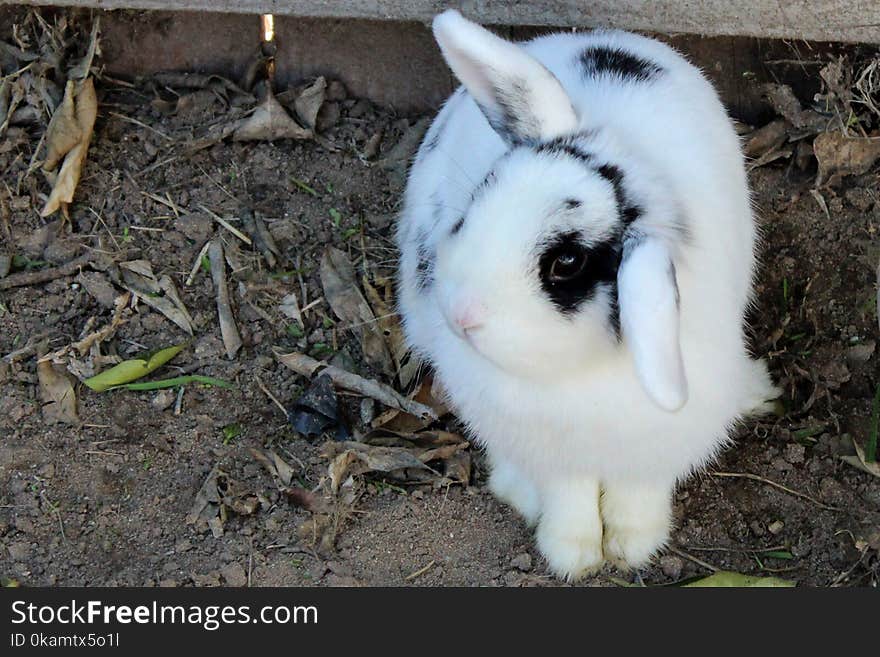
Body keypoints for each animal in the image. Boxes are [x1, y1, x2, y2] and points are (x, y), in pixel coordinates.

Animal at [396, 7, 772, 576]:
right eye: (479, 199)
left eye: (565, 262)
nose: (461, 315)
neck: (576, 375)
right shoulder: (551, 453)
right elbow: (566, 495)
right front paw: (572, 554)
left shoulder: (654, 446)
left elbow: (639, 492)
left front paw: (634, 545)